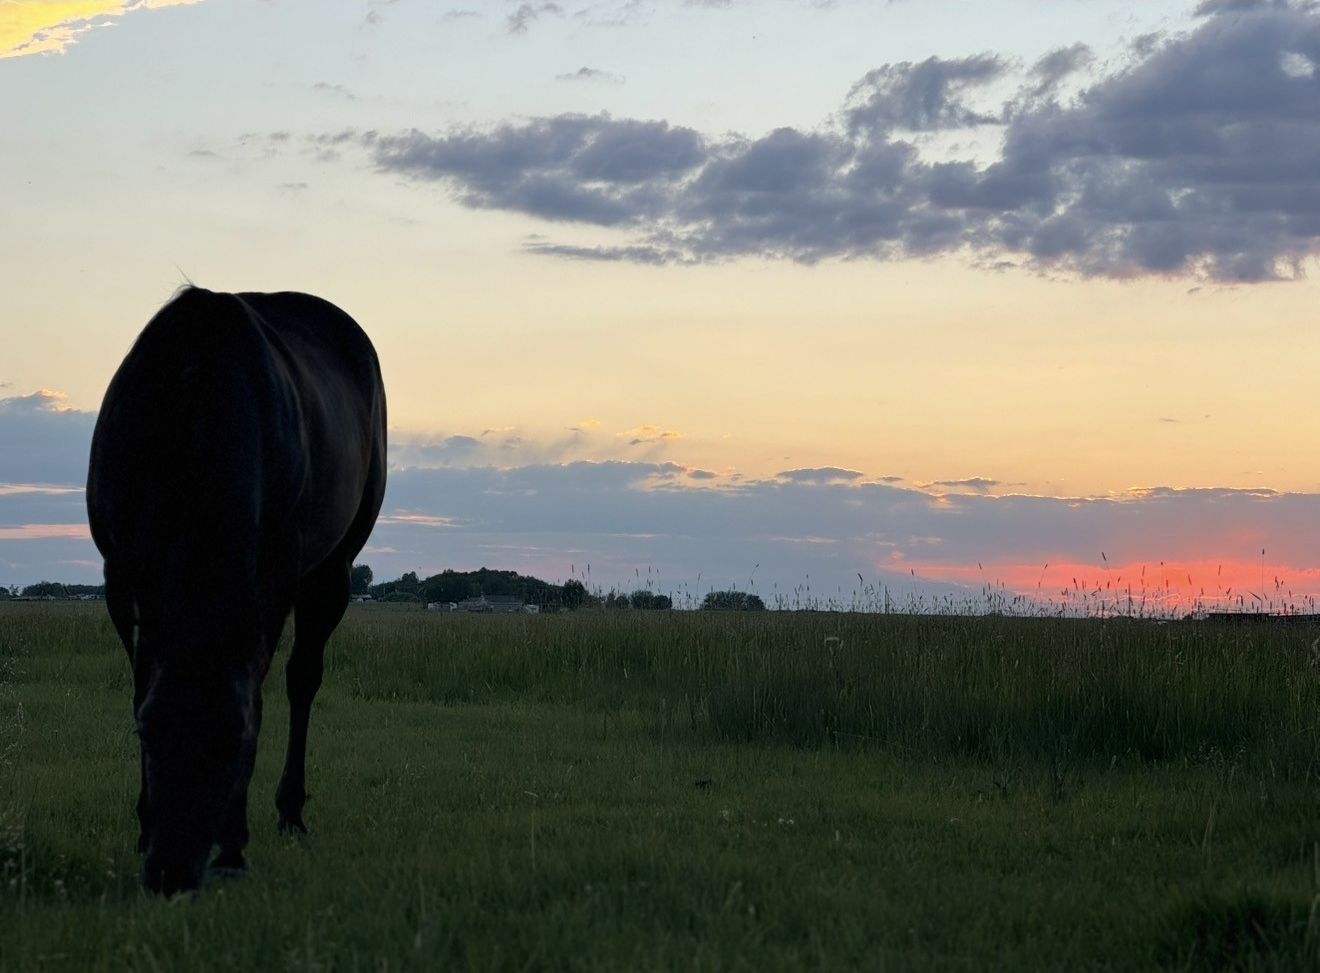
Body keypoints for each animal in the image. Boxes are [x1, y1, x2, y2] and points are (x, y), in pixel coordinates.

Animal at [86, 286, 387, 895]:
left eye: (233, 740)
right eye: (148, 734)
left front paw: (233, 845)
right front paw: (142, 823)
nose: (171, 874)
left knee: (302, 678)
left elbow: (260, 691)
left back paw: (291, 811)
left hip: (335, 569)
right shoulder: (121, 575)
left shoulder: (274, 576)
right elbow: (139, 683)